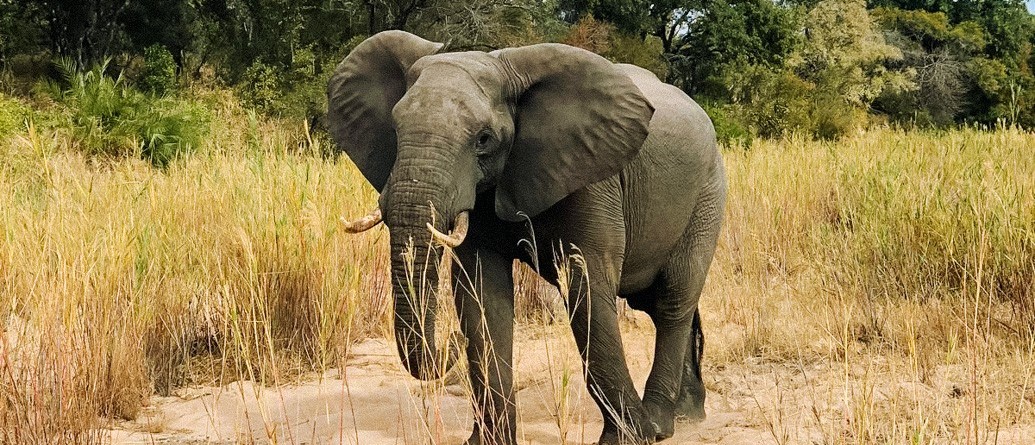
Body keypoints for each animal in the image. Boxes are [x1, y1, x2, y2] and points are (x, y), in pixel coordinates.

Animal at [329, 31, 726, 445]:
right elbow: (481, 294)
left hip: (707, 194)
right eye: (394, 130)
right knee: (659, 301)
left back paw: (662, 423)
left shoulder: (592, 178)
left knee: (672, 299)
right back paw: (687, 413)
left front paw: (629, 438)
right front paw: (487, 441)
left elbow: (586, 285)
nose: (451, 342)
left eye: (483, 139)